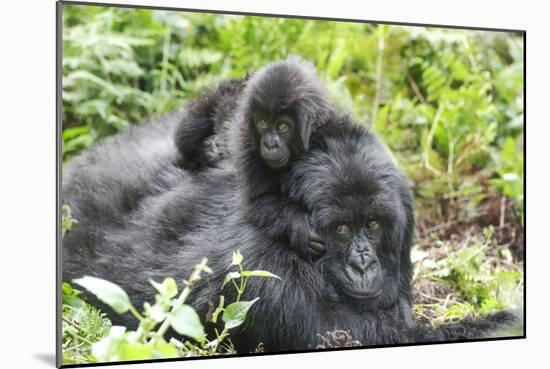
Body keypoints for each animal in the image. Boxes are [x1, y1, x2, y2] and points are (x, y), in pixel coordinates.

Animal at [176, 58, 336, 258]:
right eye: (262, 123)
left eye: (283, 126)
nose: (270, 144)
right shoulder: (248, 145)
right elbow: (258, 202)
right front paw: (299, 226)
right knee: (187, 134)